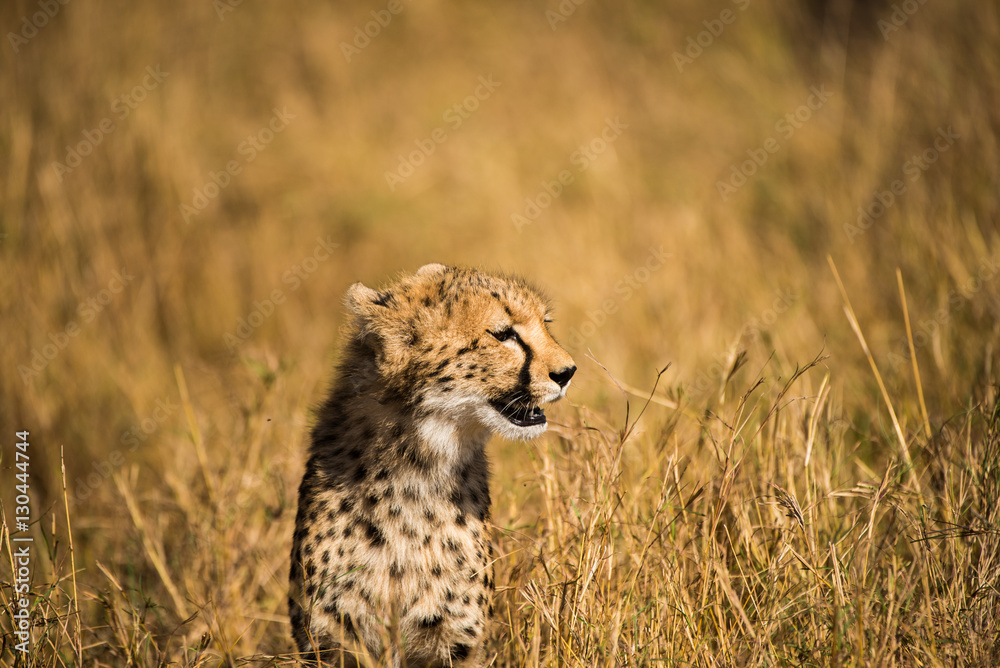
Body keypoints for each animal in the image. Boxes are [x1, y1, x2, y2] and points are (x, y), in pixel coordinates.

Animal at [289, 263, 576, 667]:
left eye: (545, 323)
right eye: (503, 334)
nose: (568, 372)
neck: (414, 463)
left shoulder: (453, 643)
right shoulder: (332, 642)